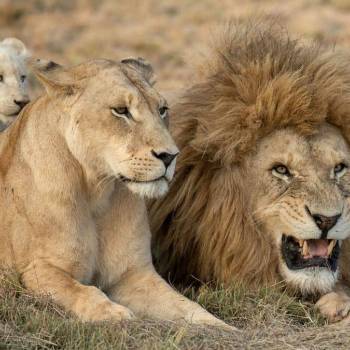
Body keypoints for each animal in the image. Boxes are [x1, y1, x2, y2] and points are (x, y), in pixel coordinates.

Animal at [0, 55, 230, 328]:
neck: (97, 192)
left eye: (162, 109)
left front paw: (221, 327)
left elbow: (186, 305)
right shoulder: (38, 269)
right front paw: (115, 315)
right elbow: (84, 292)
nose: (170, 156)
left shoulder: (133, 274)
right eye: (121, 111)